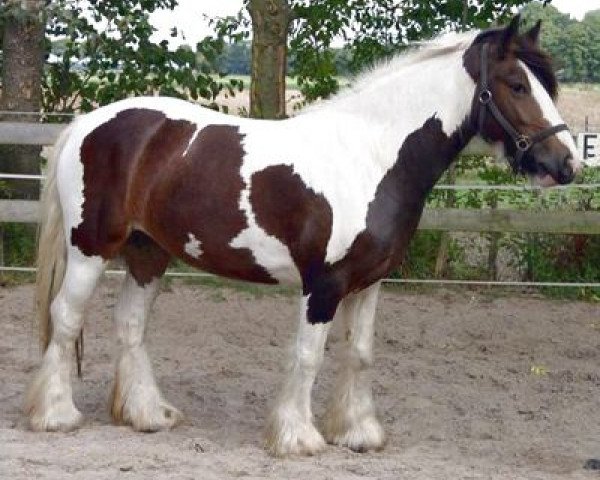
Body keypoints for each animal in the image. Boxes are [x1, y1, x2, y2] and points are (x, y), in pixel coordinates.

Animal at [27, 16, 580, 456]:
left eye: (545, 84)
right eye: (516, 84)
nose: (566, 164)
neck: (372, 156)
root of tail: (87, 123)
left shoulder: (369, 283)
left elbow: (359, 353)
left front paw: (357, 433)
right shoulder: (324, 285)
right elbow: (308, 355)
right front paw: (297, 438)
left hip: (148, 254)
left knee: (130, 326)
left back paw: (147, 415)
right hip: (90, 249)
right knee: (66, 318)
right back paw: (55, 415)